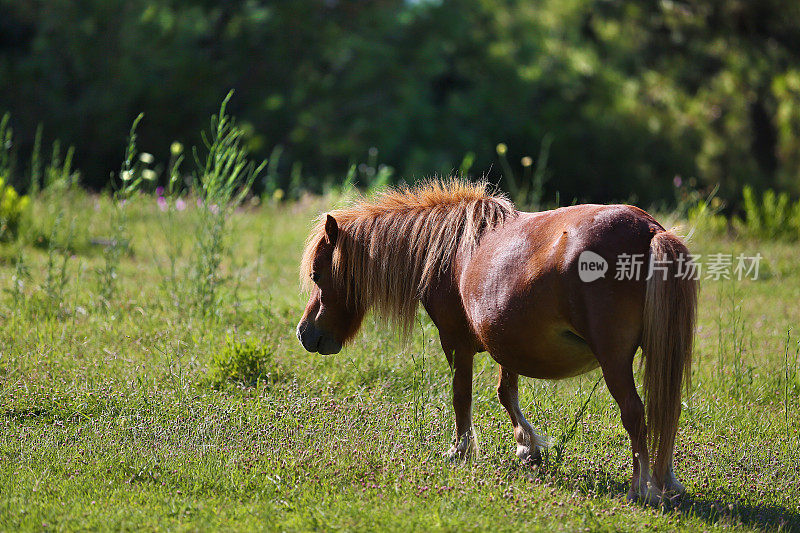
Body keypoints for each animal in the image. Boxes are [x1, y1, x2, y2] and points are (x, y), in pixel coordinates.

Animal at [296, 180, 696, 502]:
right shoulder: (508, 344)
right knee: (668, 410)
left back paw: (642, 487)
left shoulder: (456, 343)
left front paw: (460, 451)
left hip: (614, 361)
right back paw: (667, 481)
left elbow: (462, 397)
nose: (305, 334)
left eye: (317, 274)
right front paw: (527, 446)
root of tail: (649, 230)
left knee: (635, 413)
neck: (451, 251)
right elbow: (507, 393)